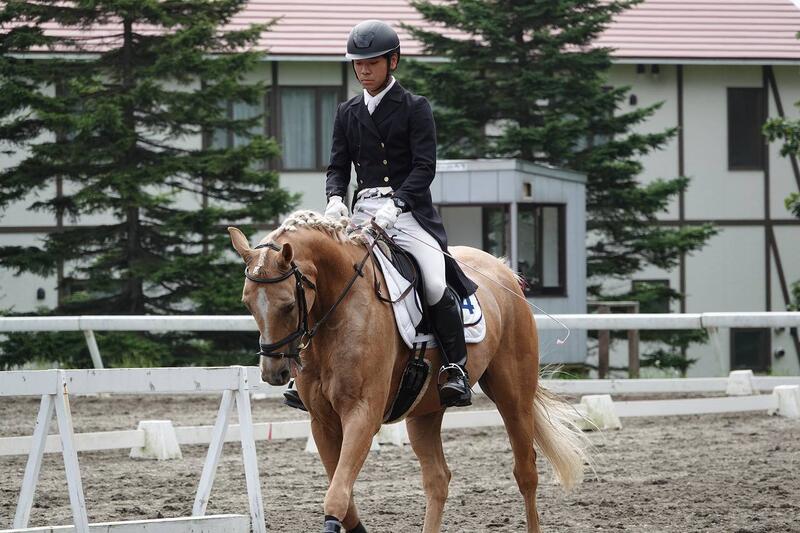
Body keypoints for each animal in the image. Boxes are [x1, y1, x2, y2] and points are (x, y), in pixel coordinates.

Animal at [228, 210, 588, 533]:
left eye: (288, 304)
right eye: (247, 303)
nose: (272, 372)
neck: (337, 315)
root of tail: (503, 269)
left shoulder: (363, 415)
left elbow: (337, 498)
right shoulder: (323, 422)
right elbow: (344, 499)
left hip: (513, 395)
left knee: (526, 471)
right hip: (425, 410)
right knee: (438, 479)